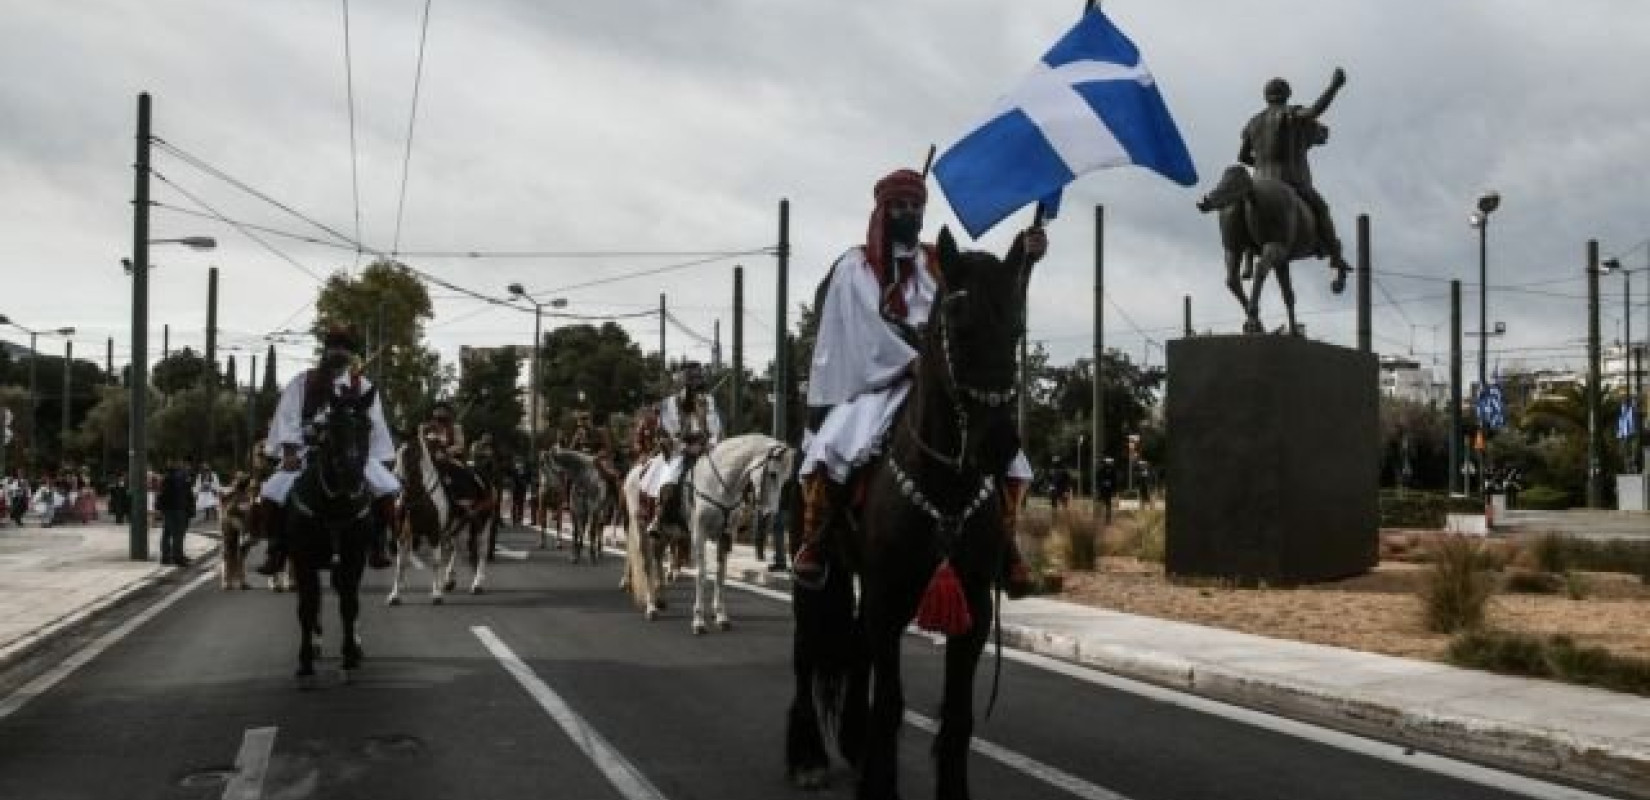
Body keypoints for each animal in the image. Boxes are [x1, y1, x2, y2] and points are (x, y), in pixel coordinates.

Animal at [292, 384, 381, 682]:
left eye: (368, 425)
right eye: (333, 427)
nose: (352, 475)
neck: (335, 505)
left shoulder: (354, 559)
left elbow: (349, 605)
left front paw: (350, 654)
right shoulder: (303, 559)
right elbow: (307, 606)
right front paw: (305, 660)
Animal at [785, 225, 1029, 798]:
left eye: (1016, 329)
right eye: (958, 325)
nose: (998, 445)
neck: (945, 487)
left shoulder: (973, 606)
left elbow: (957, 715)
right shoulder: (888, 595)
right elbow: (891, 704)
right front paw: (879, 786)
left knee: (855, 649)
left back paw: (852, 743)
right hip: (816, 570)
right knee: (807, 652)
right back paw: (808, 756)